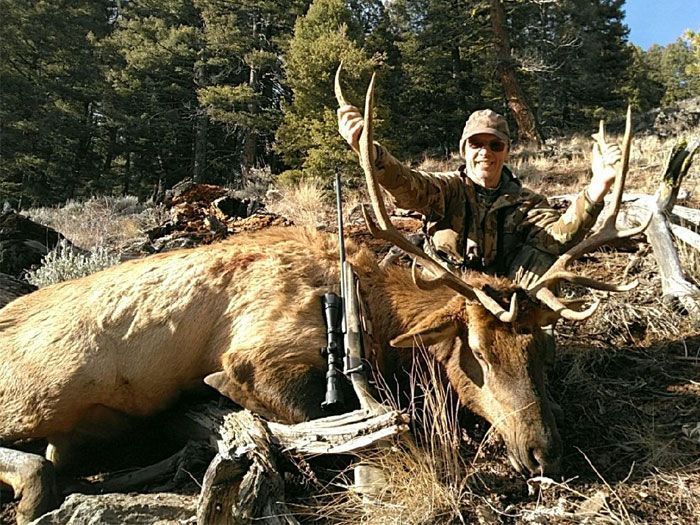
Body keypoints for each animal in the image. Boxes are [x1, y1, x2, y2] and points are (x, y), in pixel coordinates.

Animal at [0, 71, 646, 523]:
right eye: (477, 355)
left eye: (543, 351)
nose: (544, 454)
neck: (378, 316)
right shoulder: (254, 360)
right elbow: (346, 424)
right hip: (44, 389)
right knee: (36, 464)